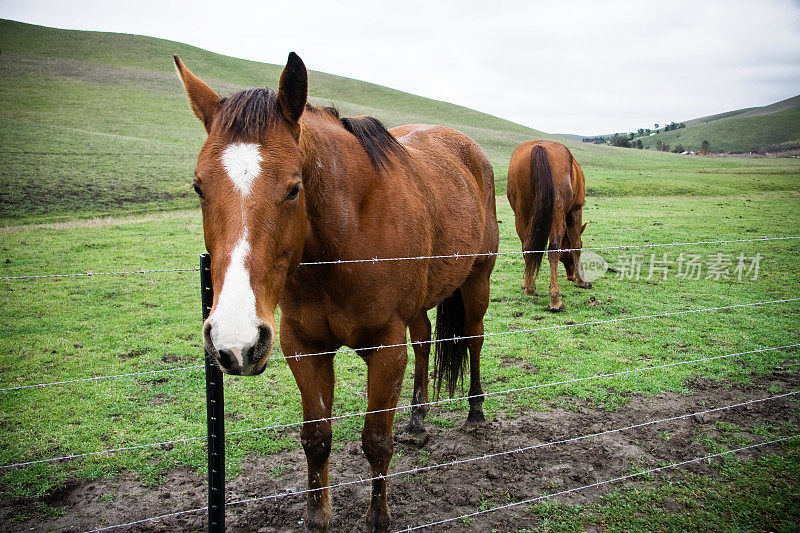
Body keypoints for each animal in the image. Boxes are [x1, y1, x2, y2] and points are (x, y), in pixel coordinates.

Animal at [177, 52, 500, 528]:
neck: (341, 244)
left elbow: (376, 441)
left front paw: (379, 518)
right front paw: (317, 517)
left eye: (294, 188)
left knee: (474, 339)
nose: (235, 342)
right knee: (424, 342)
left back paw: (476, 411)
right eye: (199, 187)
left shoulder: (386, 349)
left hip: (478, 281)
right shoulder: (304, 347)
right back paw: (418, 418)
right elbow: (316, 438)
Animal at [510, 139, 592, 310]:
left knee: (526, 247)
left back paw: (529, 288)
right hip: (557, 212)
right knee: (553, 248)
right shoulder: (575, 210)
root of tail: (540, 147)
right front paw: (582, 281)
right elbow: (576, 245)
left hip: (522, 213)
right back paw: (555, 300)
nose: (571, 275)